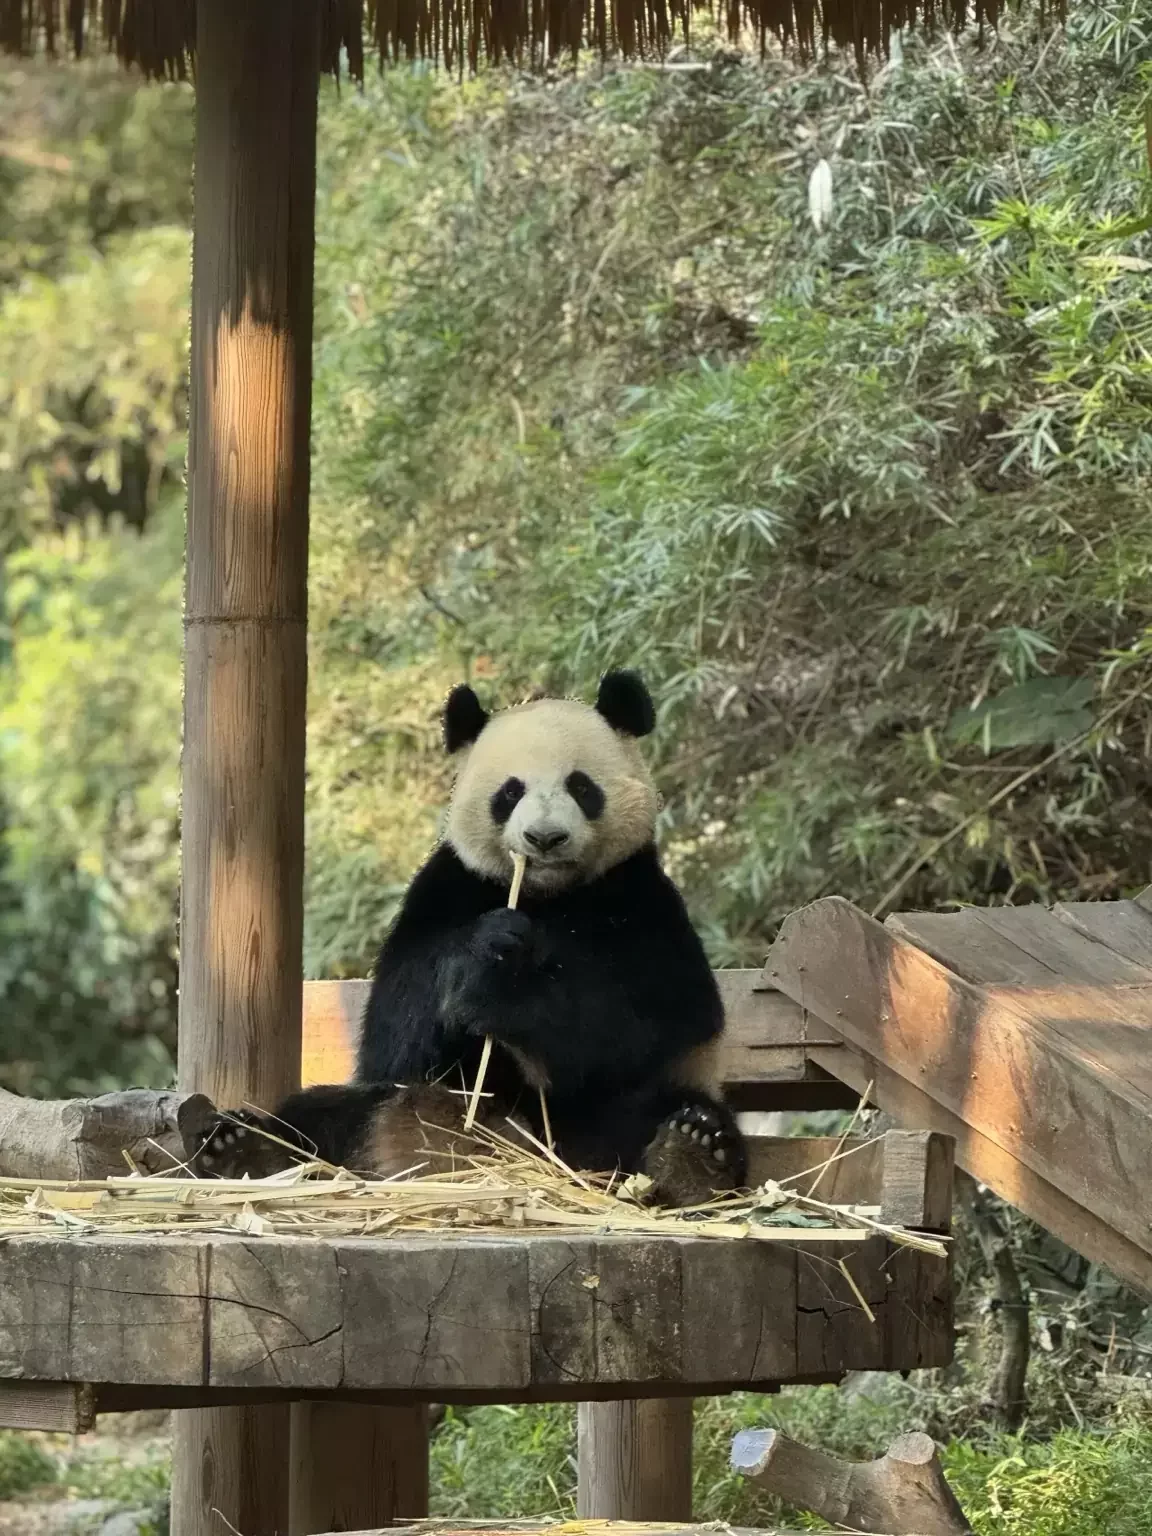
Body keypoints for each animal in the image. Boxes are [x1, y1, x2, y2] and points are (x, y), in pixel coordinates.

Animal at [188, 670, 747, 1207]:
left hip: (594, 1126)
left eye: (581, 787)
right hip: (378, 1104)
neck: (545, 895)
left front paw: (504, 992)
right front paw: (486, 949)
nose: (545, 839)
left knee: (658, 1112)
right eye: (510, 792)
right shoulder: (448, 885)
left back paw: (692, 1157)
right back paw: (243, 1149)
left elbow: (657, 1014)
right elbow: (394, 1025)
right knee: (319, 1114)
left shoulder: (639, 897)